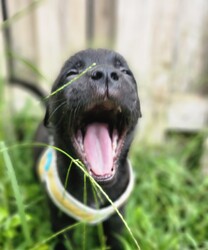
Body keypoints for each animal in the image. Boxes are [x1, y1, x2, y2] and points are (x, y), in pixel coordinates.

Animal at [34, 48, 141, 248]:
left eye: (125, 72)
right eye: (71, 73)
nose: (105, 73)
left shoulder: (116, 219)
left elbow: (115, 241)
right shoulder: (60, 220)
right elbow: (64, 243)